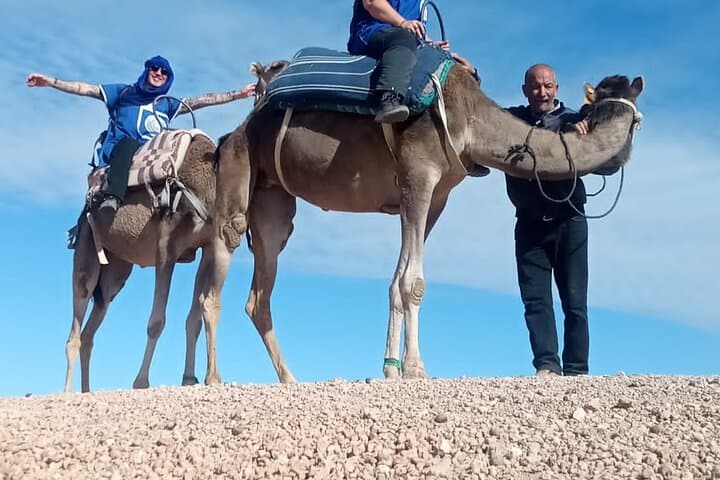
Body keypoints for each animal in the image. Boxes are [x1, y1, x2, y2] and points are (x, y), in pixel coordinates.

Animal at [65, 133, 254, 392]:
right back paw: (66, 392)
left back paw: (86, 392)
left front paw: (198, 378)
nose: (238, 230)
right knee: (76, 322)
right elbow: (157, 320)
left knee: (90, 331)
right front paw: (141, 382)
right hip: (86, 246)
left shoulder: (207, 246)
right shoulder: (166, 245)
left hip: (115, 270)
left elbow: (200, 313)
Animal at [196, 63, 644, 383]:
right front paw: (415, 368)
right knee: (218, 266)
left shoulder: (437, 196)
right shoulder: (419, 172)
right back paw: (214, 379)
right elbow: (414, 282)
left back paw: (290, 379)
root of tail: (231, 134)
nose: (619, 160)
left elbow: (398, 281)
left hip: (273, 202)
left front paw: (390, 369)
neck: (471, 120)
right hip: (238, 172)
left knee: (260, 293)